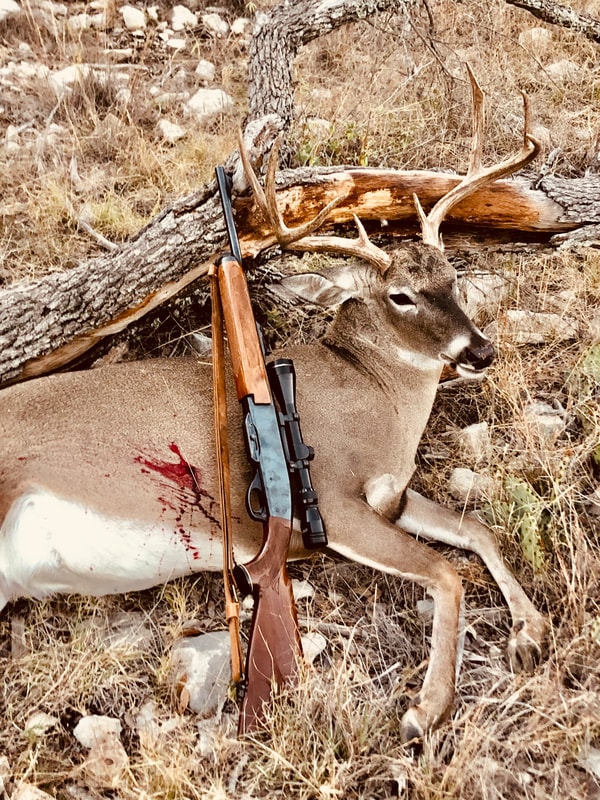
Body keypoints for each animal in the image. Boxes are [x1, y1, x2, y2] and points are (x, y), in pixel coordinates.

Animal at [0, 69, 548, 741]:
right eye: (401, 295)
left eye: (453, 275)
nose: (480, 350)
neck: (378, 400)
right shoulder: (334, 500)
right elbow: (447, 571)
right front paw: (427, 709)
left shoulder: (390, 495)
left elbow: (478, 531)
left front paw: (530, 633)